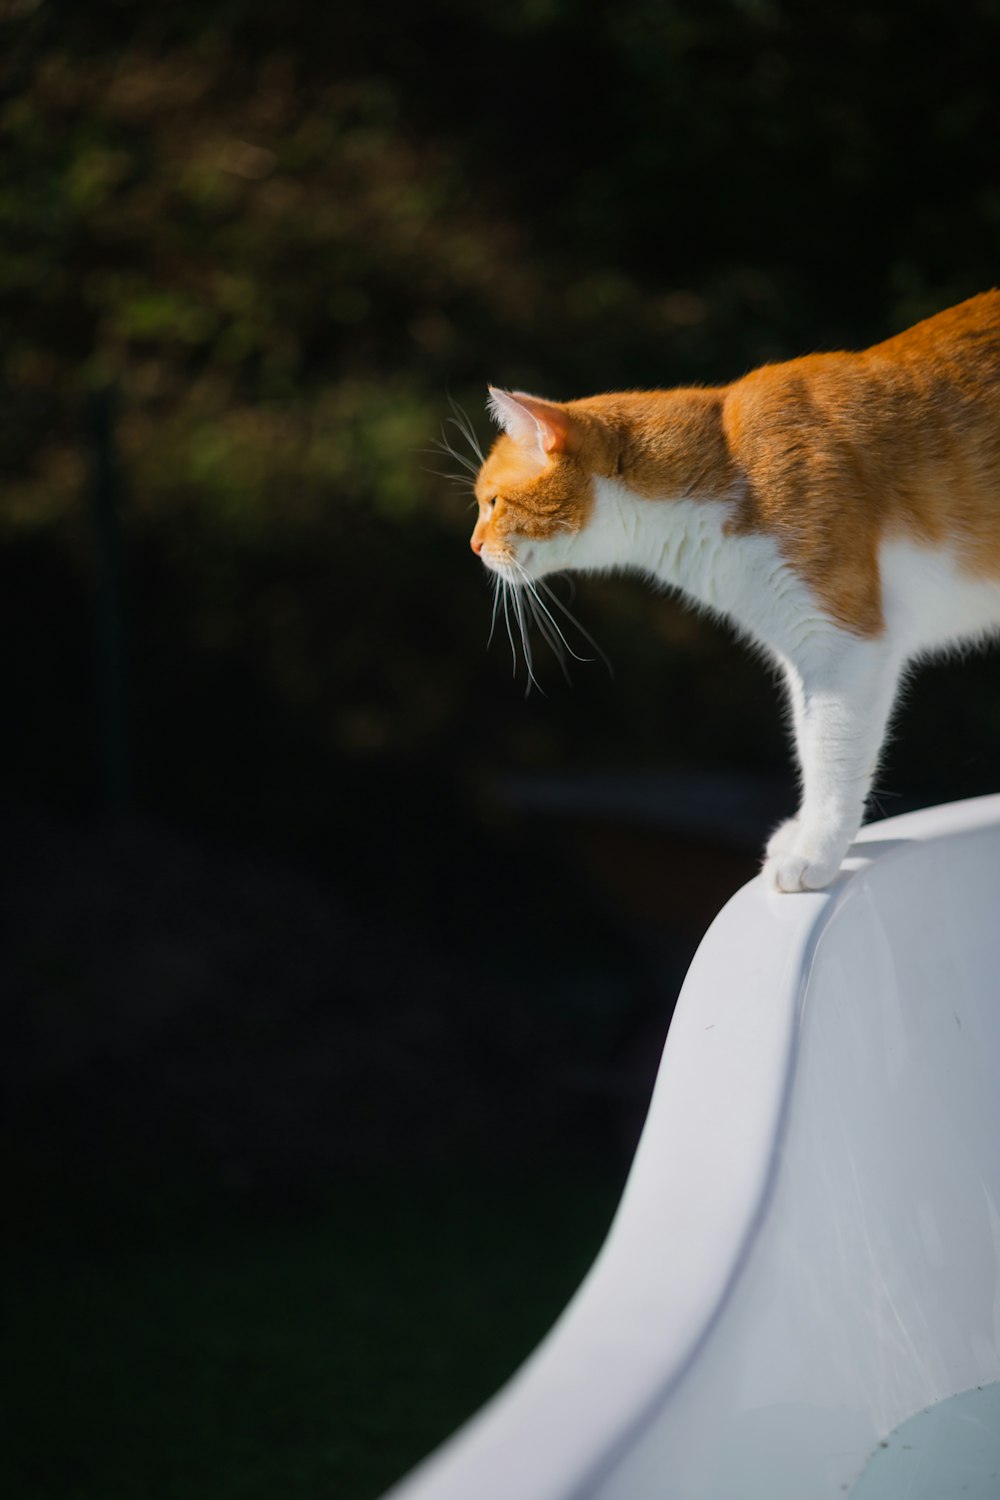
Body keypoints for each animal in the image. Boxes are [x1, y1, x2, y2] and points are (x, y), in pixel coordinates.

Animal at [467, 295, 1000, 888]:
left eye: (493, 502)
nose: (473, 545)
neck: (729, 463)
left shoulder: (844, 644)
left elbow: (833, 752)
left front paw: (816, 851)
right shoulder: (801, 650)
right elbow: (808, 741)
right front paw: (804, 833)